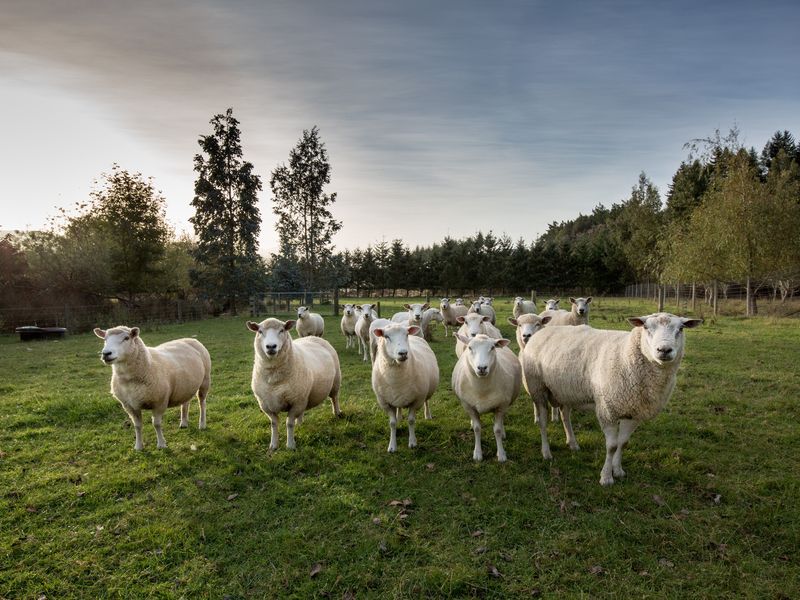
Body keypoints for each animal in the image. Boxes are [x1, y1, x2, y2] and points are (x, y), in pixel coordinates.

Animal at [247, 318, 342, 450]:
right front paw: (273, 445)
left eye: (282, 330)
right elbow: (273, 423)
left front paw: (290, 445)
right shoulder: (265, 404)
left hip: (335, 382)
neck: (274, 379)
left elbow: (289, 424)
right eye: (260, 331)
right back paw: (300, 423)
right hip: (304, 395)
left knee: (334, 398)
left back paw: (337, 413)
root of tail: (313, 337)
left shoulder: (295, 402)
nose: (271, 346)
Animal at [371, 323, 439, 451]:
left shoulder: (417, 400)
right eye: (386, 336)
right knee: (399, 407)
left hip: (426, 392)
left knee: (427, 402)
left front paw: (412, 442)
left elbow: (411, 421)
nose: (403, 353)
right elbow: (392, 423)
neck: (396, 381)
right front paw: (392, 446)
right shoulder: (385, 403)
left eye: (406, 334)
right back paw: (399, 417)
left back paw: (427, 415)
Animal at [452, 334, 521, 462]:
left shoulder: (501, 405)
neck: (482, 390)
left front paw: (501, 454)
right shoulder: (468, 406)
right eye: (470, 348)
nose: (482, 368)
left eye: (492, 348)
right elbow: (477, 428)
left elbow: (497, 430)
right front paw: (477, 453)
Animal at [520, 313, 702, 485]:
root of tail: (543, 330)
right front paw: (606, 477)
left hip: (565, 391)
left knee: (566, 417)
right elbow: (612, 446)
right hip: (538, 388)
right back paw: (546, 452)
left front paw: (618, 470)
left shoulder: (634, 412)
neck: (626, 355)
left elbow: (623, 443)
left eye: (681, 329)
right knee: (543, 422)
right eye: (646, 327)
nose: (664, 350)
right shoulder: (608, 410)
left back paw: (572, 443)